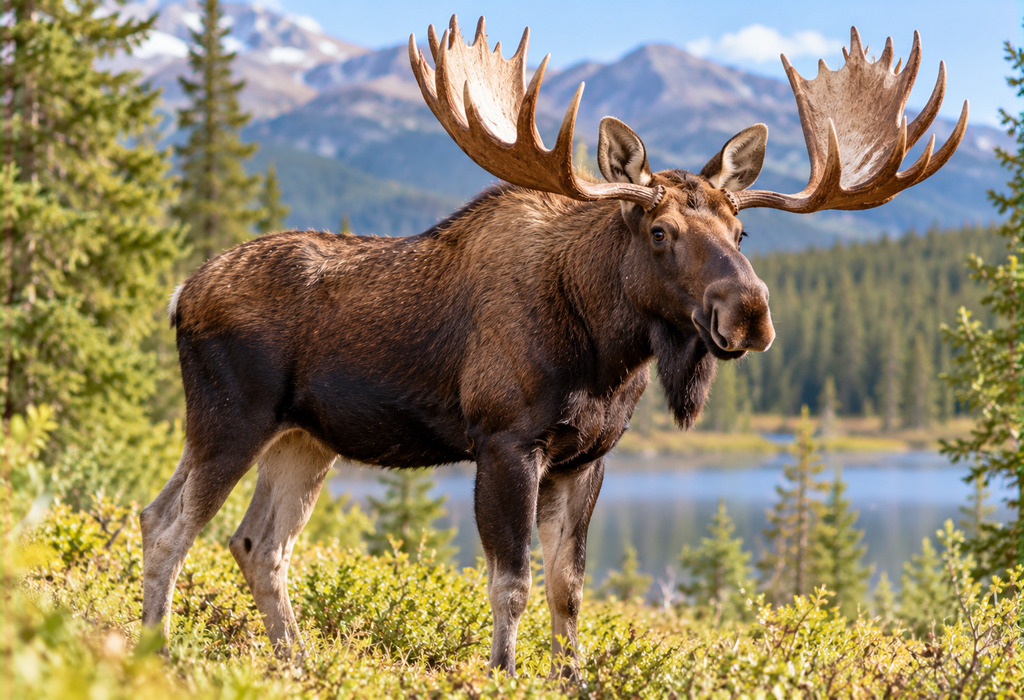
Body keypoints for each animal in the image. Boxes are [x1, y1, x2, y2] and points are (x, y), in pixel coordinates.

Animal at [140, 16, 967, 677]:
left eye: (742, 232)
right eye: (660, 231)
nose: (750, 313)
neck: (607, 356)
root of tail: (180, 294)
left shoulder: (586, 458)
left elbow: (569, 590)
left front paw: (572, 677)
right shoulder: (506, 441)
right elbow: (512, 581)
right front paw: (504, 672)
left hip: (305, 439)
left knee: (257, 544)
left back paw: (296, 663)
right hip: (230, 418)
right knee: (168, 523)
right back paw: (156, 650)